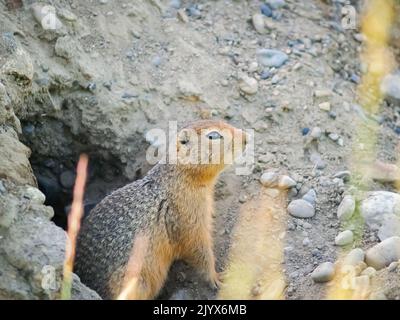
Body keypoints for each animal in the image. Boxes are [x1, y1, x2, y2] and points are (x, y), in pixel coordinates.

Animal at [74, 120, 247, 300]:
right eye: (213, 135)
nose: (246, 137)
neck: (175, 179)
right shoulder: (188, 218)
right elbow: (199, 249)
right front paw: (217, 278)